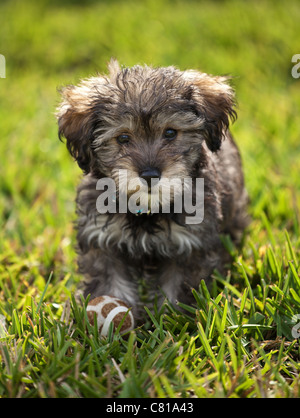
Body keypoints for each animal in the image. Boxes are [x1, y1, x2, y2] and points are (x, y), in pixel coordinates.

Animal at [56, 59, 248, 320]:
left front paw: (170, 318)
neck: (147, 211)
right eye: (123, 138)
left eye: (170, 132)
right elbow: (111, 284)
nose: (149, 175)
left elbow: (177, 289)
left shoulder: (189, 245)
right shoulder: (104, 242)